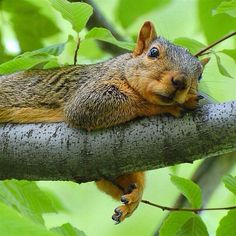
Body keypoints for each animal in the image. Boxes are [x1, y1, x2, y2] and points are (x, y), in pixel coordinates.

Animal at [0, 21, 208, 223]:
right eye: (154, 52)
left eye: (200, 75)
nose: (181, 81)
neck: (121, 69)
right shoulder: (87, 95)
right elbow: (120, 104)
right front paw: (174, 105)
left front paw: (134, 196)